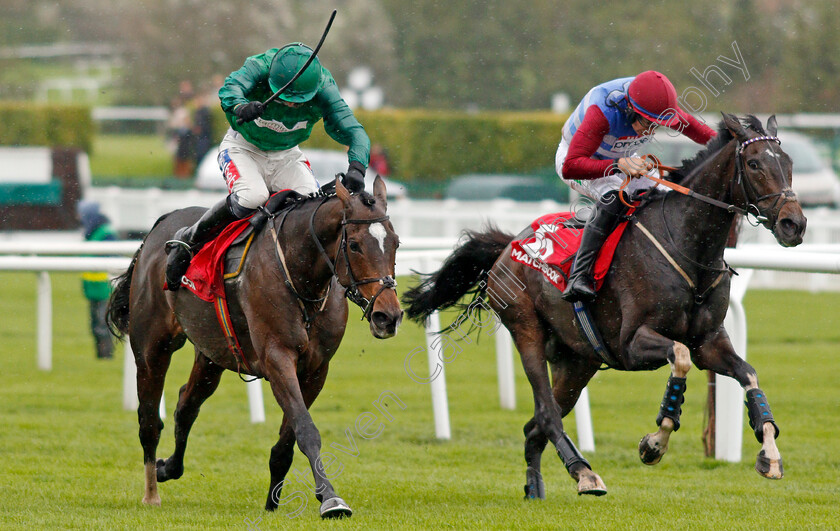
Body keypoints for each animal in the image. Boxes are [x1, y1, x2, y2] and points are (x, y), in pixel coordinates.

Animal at [106, 177, 402, 516]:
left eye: (396, 243)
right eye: (354, 245)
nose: (388, 316)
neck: (300, 276)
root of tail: (161, 225)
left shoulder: (316, 369)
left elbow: (287, 441)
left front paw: (273, 502)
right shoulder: (277, 359)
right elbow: (306, 429)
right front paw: (330, 498)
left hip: (212, 354)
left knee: (186, 404)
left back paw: (168, 467)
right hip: (151, 348)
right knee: (149, 420)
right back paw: (151, 492)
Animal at [406, 115, 808, 498]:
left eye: (788, 163)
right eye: (754, 164)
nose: (795, 224)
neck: (687, 247)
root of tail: (508, 246)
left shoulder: (708, 342)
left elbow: (748, 373)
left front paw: (770, 453)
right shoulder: (632, 343)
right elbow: (679, 360)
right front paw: (653, 444)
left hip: (577, 360)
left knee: (534, 425)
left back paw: (536, 487)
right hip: (526, 329)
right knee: (547, 415)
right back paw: (584, 473)